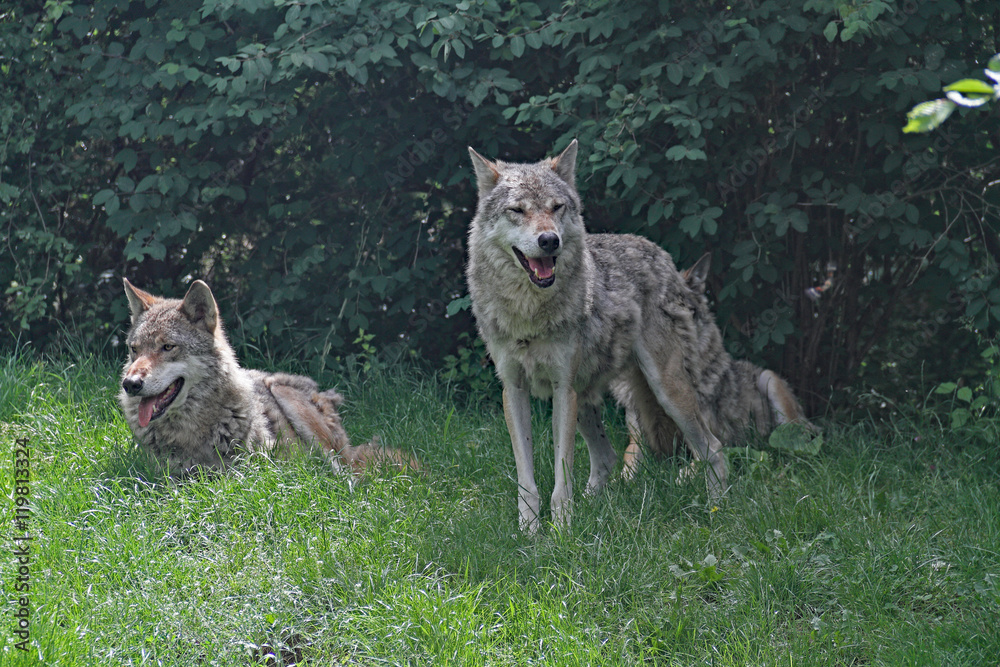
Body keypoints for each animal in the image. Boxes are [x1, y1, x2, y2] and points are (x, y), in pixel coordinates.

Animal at [118, 278, 417, 477]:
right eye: (134, 350)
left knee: (345, 473)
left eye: (168, 347)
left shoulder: (253, 470)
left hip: (289, 399)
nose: (130, 384)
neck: (190, 430)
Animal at [466, 139, 728, 533]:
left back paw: (719, 513)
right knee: (607, 459)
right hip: (588, 401)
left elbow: (562, 473)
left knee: (713, 448)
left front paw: (561, 531)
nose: (549, 240)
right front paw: (529, 531)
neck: (529, 314)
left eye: (556, 207)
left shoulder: (562, 389)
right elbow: (526, 477)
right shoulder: (513, 389)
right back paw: (594, 508)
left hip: (664, 391)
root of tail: (662, 256)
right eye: (517, 211)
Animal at [619, 253, 816, 478]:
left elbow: (691, 467)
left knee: (792, 443)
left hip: (769, 380)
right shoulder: (636, 442)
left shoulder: (710, 439)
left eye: (691, 313)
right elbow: (625, 470)